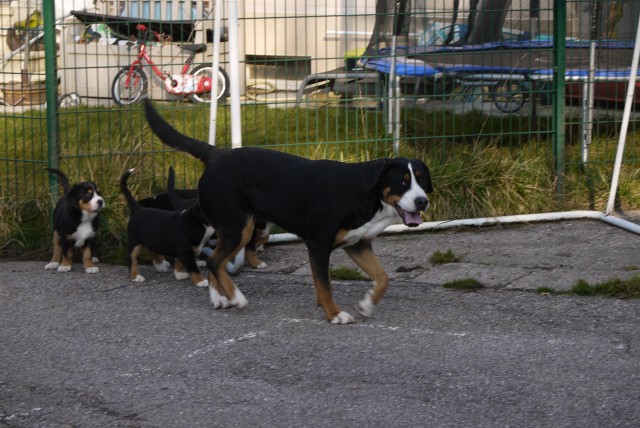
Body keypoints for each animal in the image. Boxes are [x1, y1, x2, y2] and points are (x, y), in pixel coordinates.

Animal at [144, 99, 436, 320]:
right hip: (239, 226)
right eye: (402, 181)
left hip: (233, 228)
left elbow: (383, 277)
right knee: (216, 261)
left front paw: (366, 305)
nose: (422, 201)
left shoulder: (358, 244)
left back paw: (219, 299)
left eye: (422, 180)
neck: (366, 194)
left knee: (216, 262)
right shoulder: (319, 244)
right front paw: (334, 314)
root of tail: (217, 154)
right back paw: (237, 298)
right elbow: (325, 285)